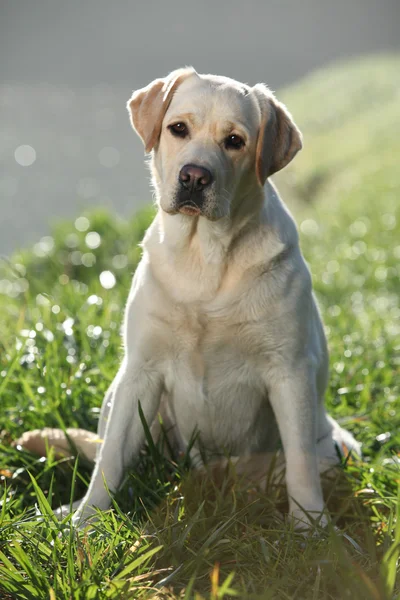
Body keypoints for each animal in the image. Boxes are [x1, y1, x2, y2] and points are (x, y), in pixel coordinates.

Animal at [19, 67, 362, 528]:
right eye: (178, 128)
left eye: (234, 140)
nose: (194, 177)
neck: (206, 257)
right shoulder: (142, 370)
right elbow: (111, 460)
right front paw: (85, 524)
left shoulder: (289, 372)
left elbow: (301, 464)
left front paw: (311, 528)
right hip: (118, 393)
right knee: (115, 453)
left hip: (340, 446)